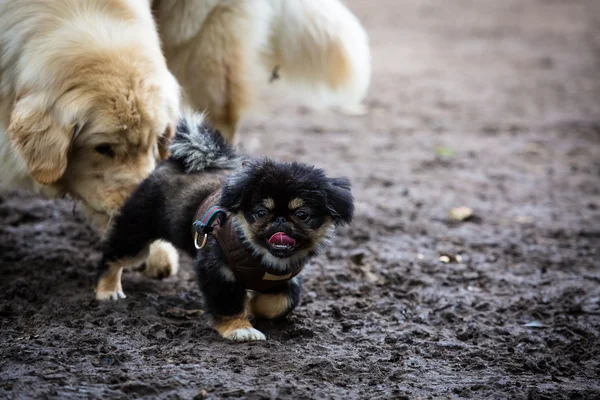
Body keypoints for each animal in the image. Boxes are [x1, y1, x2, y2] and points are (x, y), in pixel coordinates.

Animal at [96, 114, 354, 342]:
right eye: (261, 212)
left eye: (302, 215)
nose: (280, 221)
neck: (259, 256)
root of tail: (173, 163)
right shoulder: (218, 272)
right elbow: (228, 304)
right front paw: (240, 329)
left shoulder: (287, 280)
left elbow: (280, 303)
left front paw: (252, 306)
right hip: (136, 231)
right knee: (113, 255)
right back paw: (108, 290)